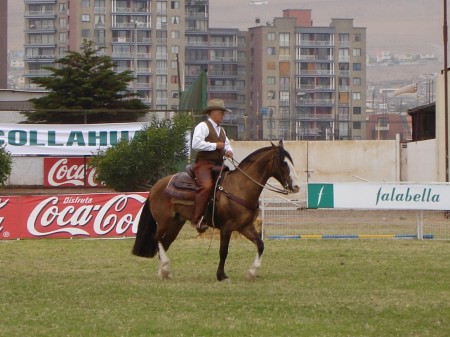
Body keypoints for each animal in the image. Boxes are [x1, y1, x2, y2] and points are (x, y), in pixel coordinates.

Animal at [132, 139, 298, 280]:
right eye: (283, 163)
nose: (296, 187)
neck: (240, 187)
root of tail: (156, 186)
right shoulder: (227, 227)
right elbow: (223, 251)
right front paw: (221, 275)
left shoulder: (245, 226)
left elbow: (260, 245)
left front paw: (251, 272)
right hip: (164, 221)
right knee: (156, 239)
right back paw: (165, 269)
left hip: (176, 223)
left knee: (165, 243)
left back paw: (164, 272)